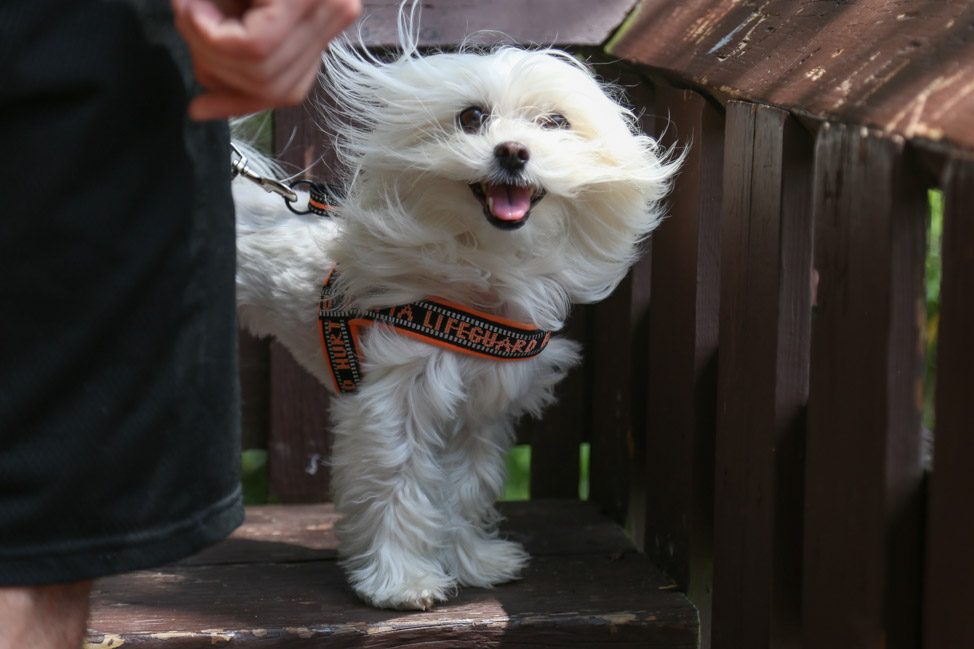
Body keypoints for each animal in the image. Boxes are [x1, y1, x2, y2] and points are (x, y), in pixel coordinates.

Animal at [234, 17, 684, 612]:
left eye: (556, 122)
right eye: (471, 117)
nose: (513, 151)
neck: (479, 279)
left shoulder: (480, 409)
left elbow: (464, 489)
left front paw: (470, 561)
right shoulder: (395, 399)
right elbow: (396, 485)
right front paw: (402, 581)